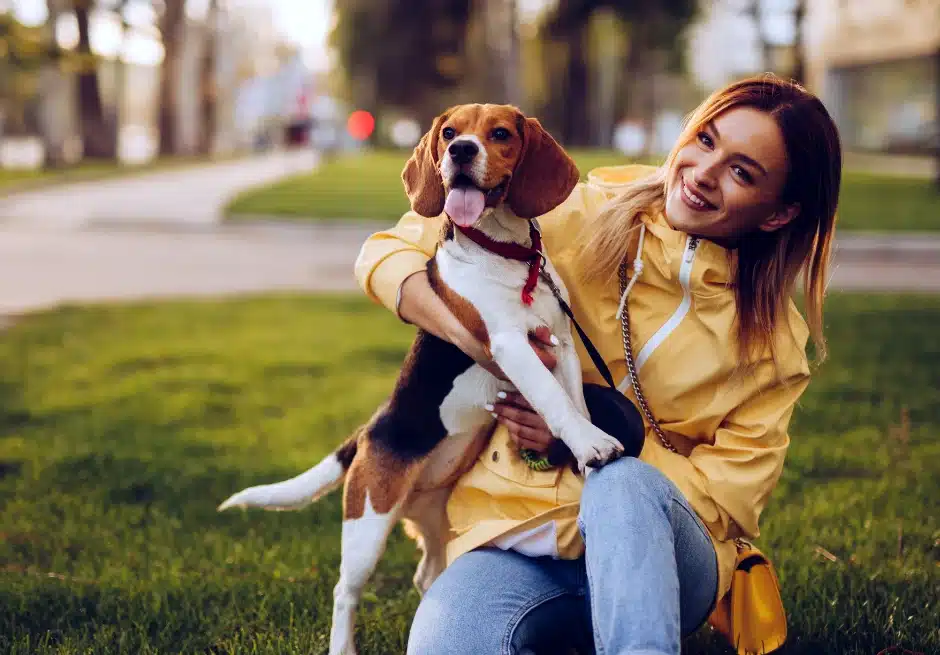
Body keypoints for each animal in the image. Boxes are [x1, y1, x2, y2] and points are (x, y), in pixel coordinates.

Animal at [218, 105, 624, 652]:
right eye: (450, 132)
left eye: (500, 134)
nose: (460, 151)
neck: (506, 256)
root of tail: (368, 432)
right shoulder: (509, 346)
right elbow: (553, 401)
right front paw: (590, 445)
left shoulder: (558, 341)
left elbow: (574, 402)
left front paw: (585, 446)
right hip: (368, 521)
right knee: (344, 592)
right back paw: (342, 645)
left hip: (434, 521)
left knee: (425, 574)